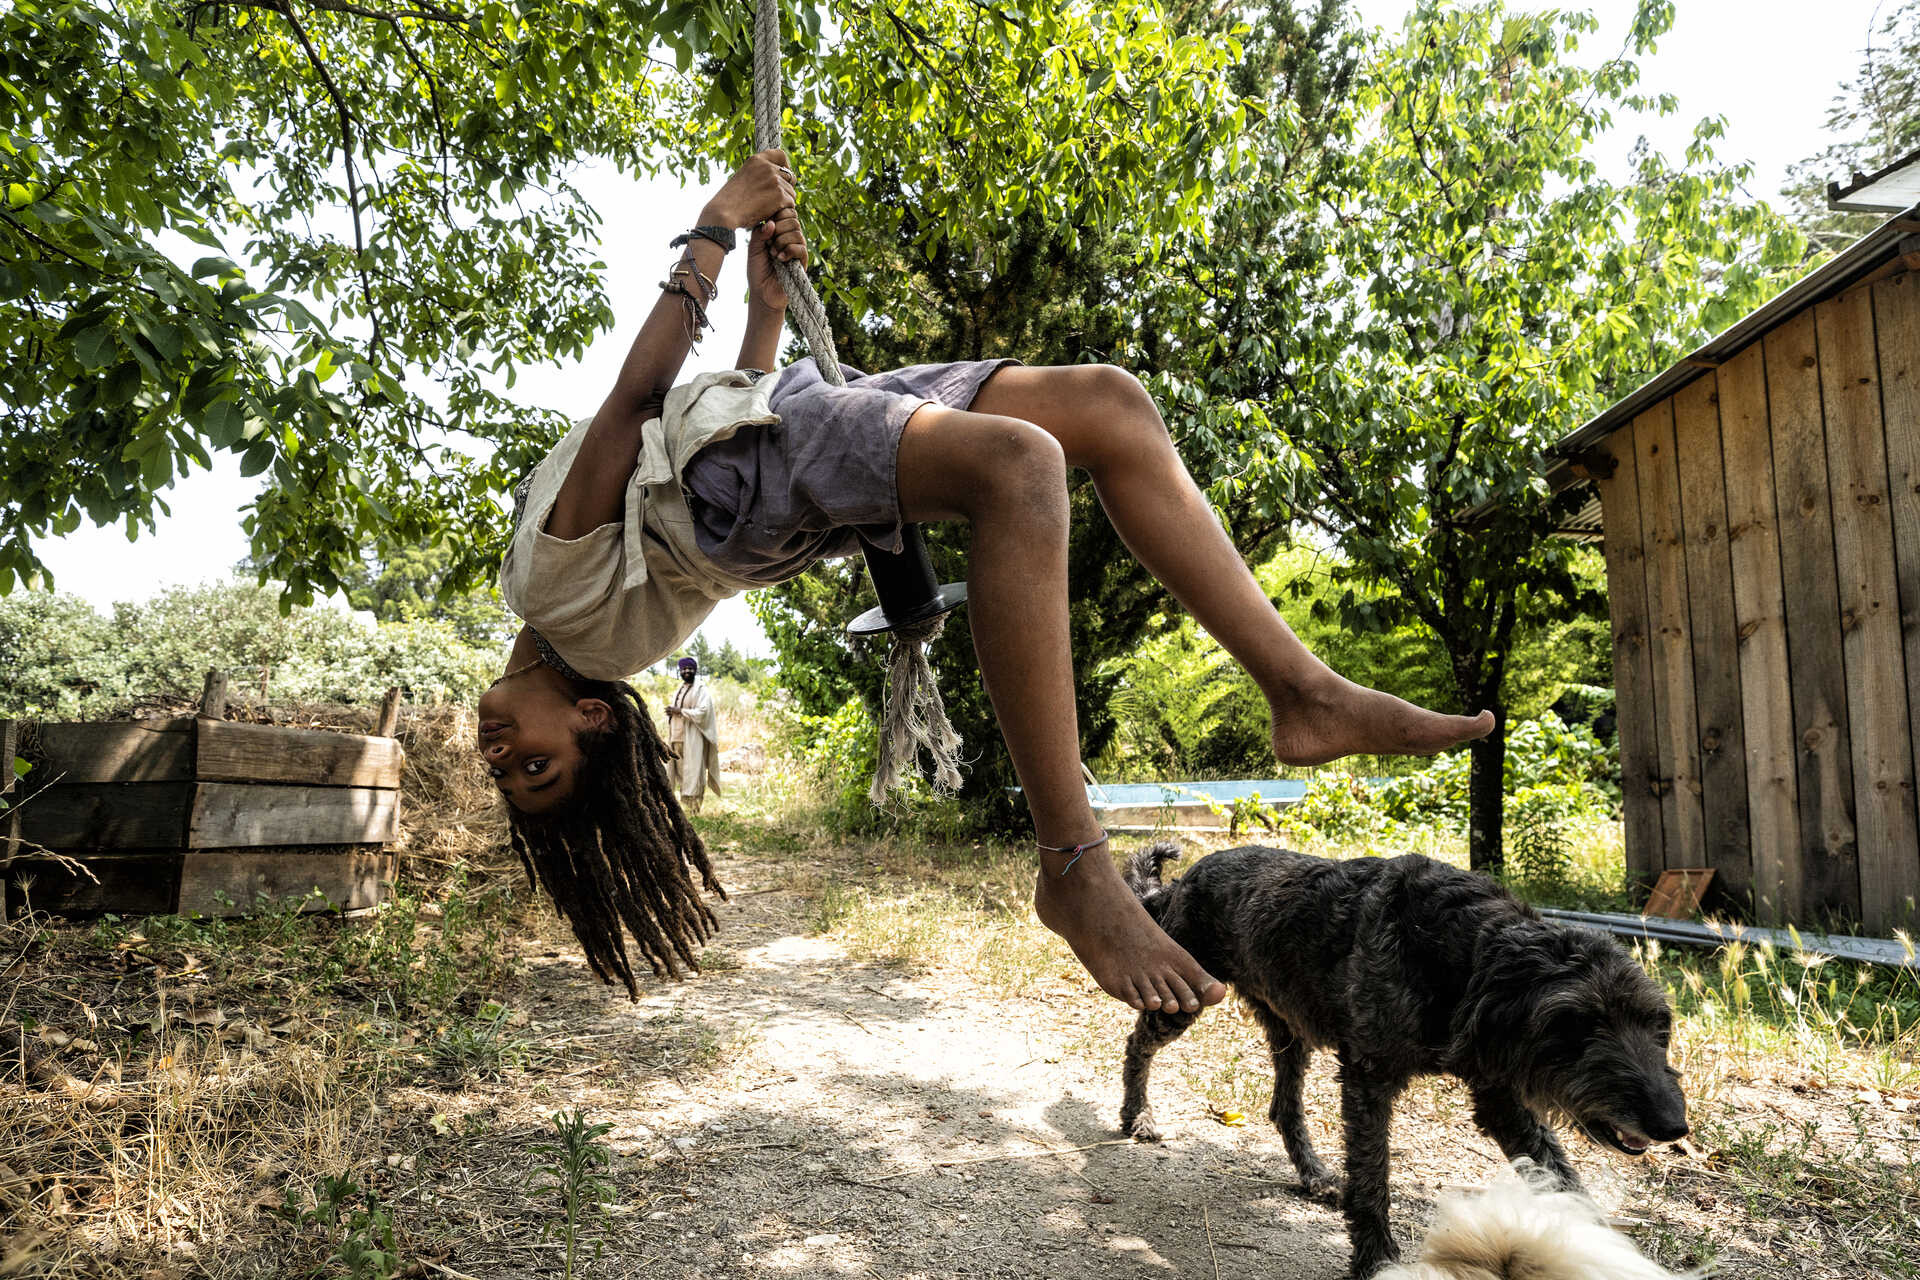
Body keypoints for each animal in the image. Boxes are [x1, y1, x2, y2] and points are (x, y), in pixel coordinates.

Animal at [1121, 844, 1689, 1274]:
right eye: (1575, 1024)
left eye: (1659, 1025)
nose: (1673, 1126)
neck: (1462, 954)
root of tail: (1180, 881)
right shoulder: (1369, 1079)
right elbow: (1373, 1178)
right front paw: (1375, 1259)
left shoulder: (1501, 1098)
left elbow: (1565, 1183)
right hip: (1183, 994)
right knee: (1137, 1044)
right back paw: (1137, 1116)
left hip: (1290, 1027)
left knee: (1285, 1106)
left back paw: (1315, 1175)